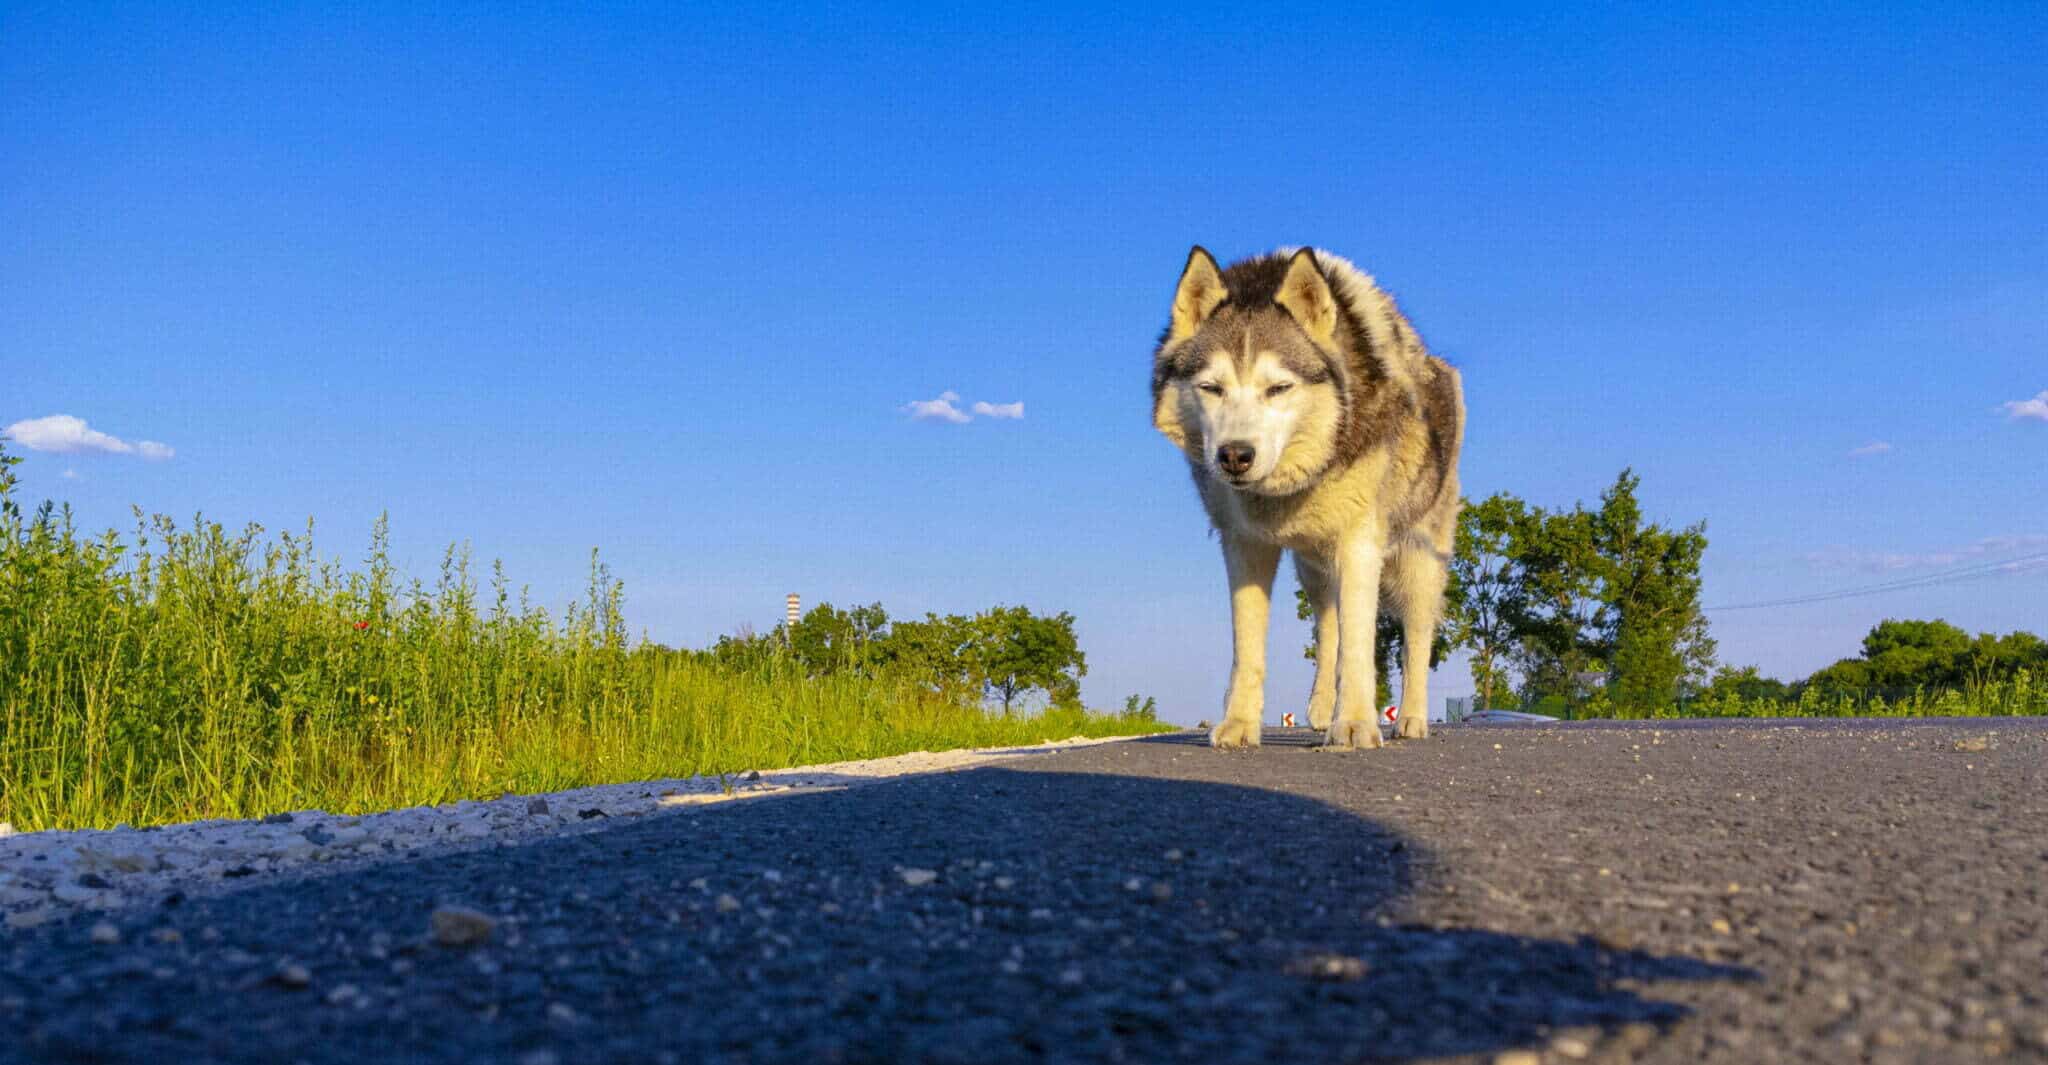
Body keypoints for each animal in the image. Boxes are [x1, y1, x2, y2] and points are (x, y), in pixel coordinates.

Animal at [1155, 247, 1474, 749]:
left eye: (1278, 388)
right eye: (1211, 388)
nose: (1235, 456)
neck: (1285, 488)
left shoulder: (1361, 544)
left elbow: (1362, 646)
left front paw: (1357, 724)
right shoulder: (1244, 545)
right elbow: (1250, 649)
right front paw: (1239, 725)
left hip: (1420, 560)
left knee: (1415, 640)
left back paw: (1410, 719)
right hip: (1315, 571)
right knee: (1328, 630)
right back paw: (1323, 710)